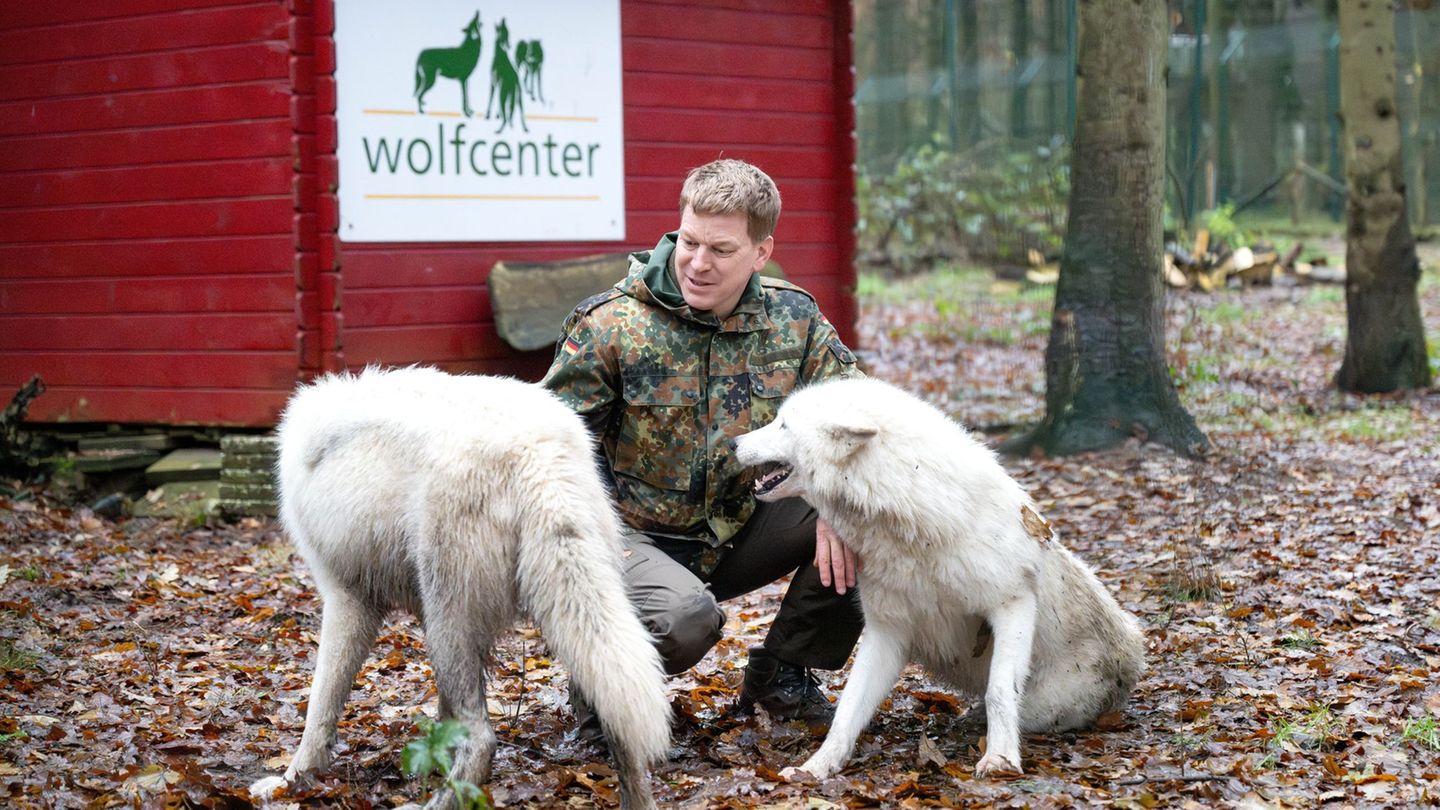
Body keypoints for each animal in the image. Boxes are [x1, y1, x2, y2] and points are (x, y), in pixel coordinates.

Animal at [250, 367, 669, 809]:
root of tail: (536, 452)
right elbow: (443, 715)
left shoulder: (348, 599)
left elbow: (320, 704)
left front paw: (291, 781)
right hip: (574, 611)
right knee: (622, 727)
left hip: (448, 627)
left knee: (484, 739)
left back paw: (436, 802)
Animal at [734, 378, 1146, 779]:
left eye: (783, 425)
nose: (732, 443)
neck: (914, 523)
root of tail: (1133, 655)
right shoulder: (887, 631)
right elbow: (848, 709)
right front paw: (816, 768)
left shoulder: (1012, 603)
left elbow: (999, 691)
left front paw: (1000, 761)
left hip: (1048, 702)